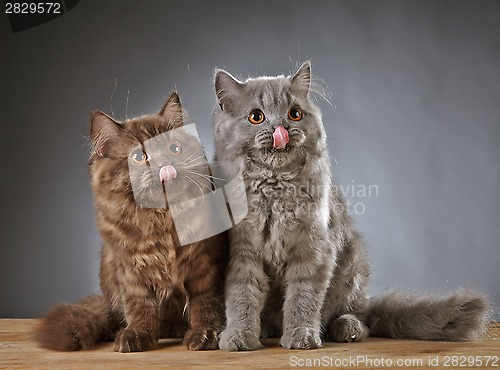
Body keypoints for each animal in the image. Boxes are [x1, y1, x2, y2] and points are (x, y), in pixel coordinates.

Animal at [35, 92, 229, 352]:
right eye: (138, 156)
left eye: (174, 148)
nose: (164, 164)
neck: (161, 219)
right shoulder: (131, 271)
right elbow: (141, 307)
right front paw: (137, 335)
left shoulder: (205, 266)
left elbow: (205, 303)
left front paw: (204, 335)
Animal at [213, 60, 490, 350]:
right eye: (256, 116)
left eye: (294, 113)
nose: (282, 129)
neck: (275, 189)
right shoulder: (243, 251)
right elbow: (242, 297)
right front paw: (239, 337)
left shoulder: (314, 251)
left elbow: (302, 298)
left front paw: (302, 336)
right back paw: (267, 330)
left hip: (353, 267)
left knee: (360, 316)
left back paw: (347, 329)